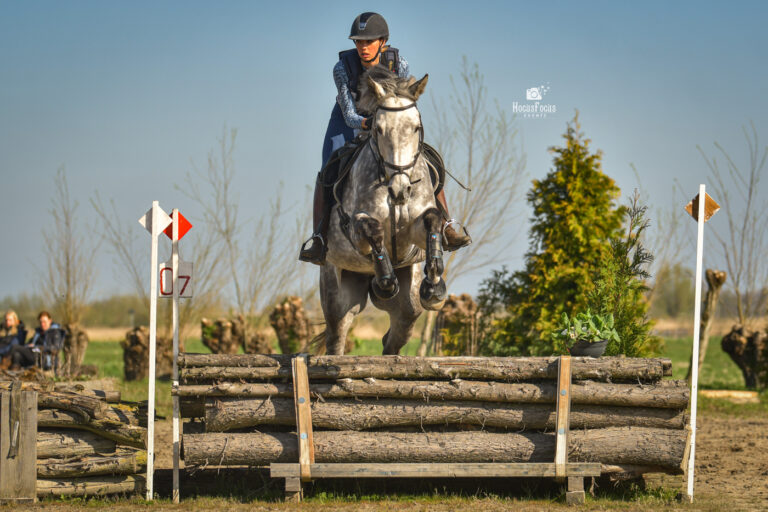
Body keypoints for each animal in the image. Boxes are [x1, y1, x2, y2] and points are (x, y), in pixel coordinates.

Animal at [318, 68, 450, 356]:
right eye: (378, 129)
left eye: (415, 127)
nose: (399, 190)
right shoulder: (355, 230)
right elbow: (372, 229)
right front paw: (385, 281)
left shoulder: (415, 231)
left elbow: (433, 220)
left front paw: (434, 287)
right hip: (336, 293)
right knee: (337, 337)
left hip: (408, 305)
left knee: (397, 334)